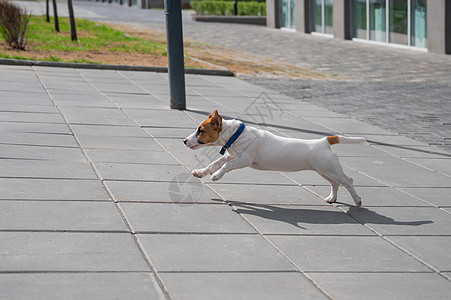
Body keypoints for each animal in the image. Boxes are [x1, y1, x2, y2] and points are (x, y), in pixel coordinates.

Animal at [185, 110, 366, 206]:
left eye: (201, 130)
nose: (184, 141)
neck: (236, 135)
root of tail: (323, 141)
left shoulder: (244, 160)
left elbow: (225, 167)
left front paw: (216, 176)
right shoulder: (231, 156)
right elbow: (215, 163)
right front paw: (201, 172)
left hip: (330, 169)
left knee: (347, 181)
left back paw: (357, 200)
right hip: (323, 170)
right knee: (335, 183)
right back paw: (332, 198)